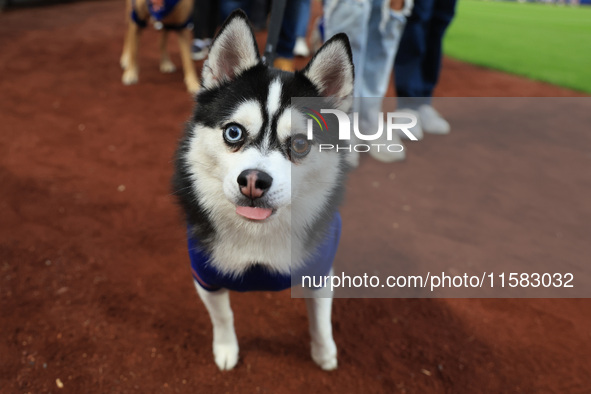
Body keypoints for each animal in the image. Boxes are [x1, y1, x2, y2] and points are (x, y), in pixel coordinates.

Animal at [173, 10, 354, 370]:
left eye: (300, 144)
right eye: (233, 132)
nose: (254, 180)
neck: (257, 236)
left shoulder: (319, 273)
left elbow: (320, 319)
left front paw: (324, 352)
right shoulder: (206, 276)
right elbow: (223, 316)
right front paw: (226, 348)